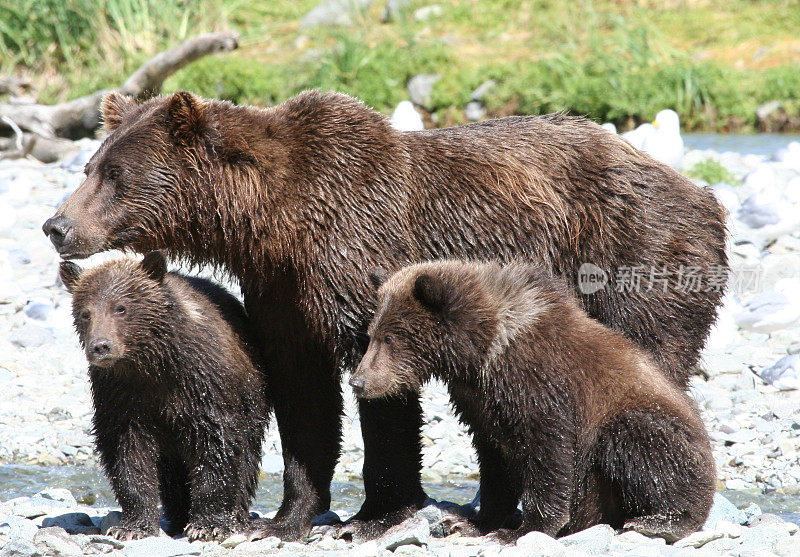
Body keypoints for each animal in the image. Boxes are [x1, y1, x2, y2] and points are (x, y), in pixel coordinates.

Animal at [43, 90, 732, 540]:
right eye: (89, 165)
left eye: (114, 173)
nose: (56, 225)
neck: (272, 220)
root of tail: (702, 194)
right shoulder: (281, 291)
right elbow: (304, 397)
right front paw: (286, 518)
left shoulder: (360, 256)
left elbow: (383, 391)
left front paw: (375, 516)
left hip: (638, 260)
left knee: (645, 366)